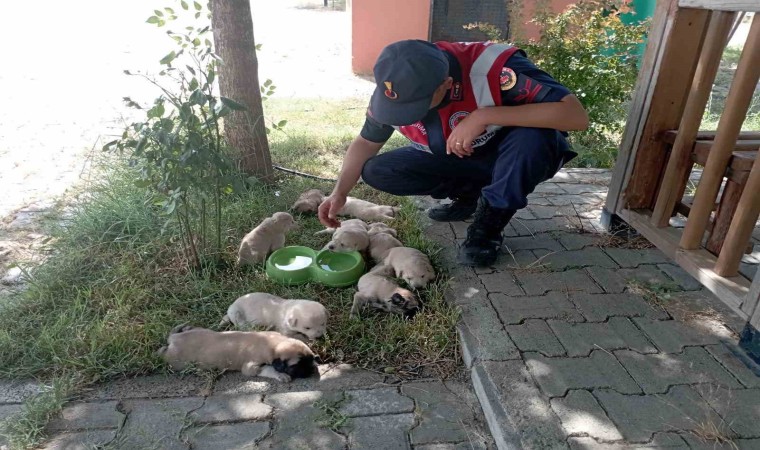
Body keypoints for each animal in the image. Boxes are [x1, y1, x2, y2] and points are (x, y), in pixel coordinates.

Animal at [157, 324, 318, 384]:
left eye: (309, 360)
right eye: (296, 365)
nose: (310, 371)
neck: (274, 343)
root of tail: (174, 339)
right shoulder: (251, 367)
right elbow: (269, 369)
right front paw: (281, 375)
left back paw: (183, 328)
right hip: (176, 361)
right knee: (162, 353)